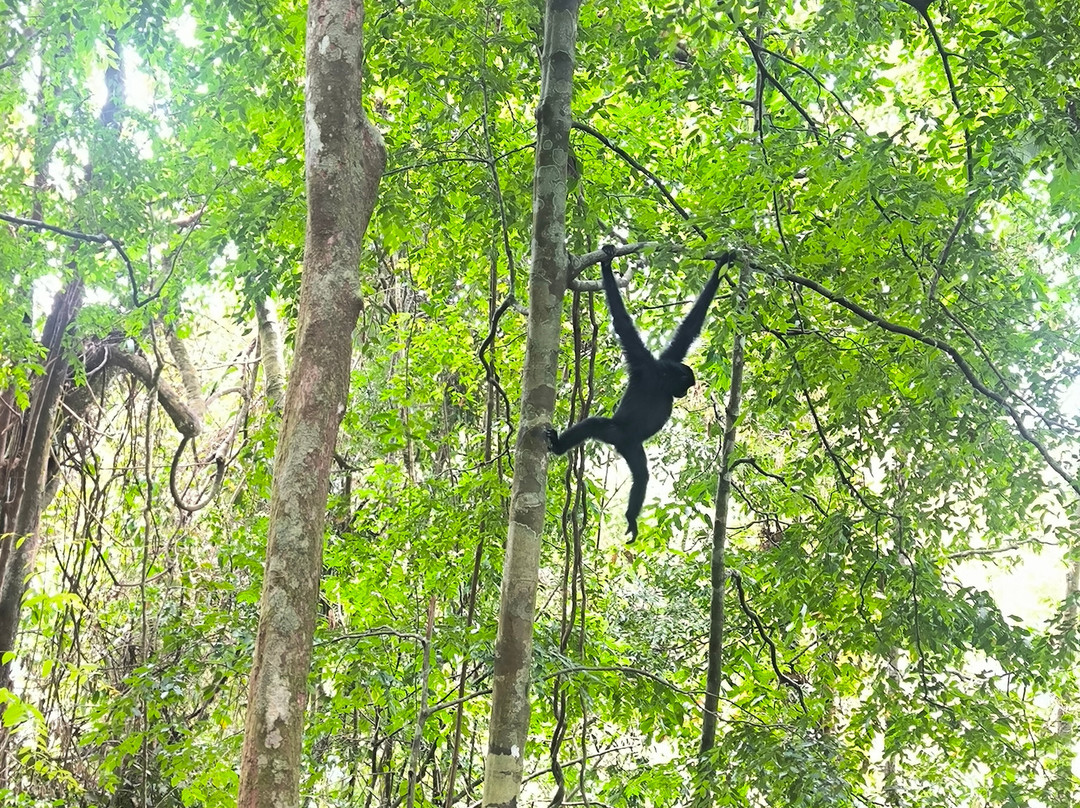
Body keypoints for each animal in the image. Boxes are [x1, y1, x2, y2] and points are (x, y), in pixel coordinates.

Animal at [546, 245, 736, 539]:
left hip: (629, 444)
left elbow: (689, 328)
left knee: (633, 468)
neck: (660, 380)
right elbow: (624, 323)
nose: (683, 394)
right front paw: (607, 263)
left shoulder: (663, 359)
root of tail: (619, 442)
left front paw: (724, 263)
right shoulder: (642, 362)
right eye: (686, 386)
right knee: (597, 428)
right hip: (620, 435)